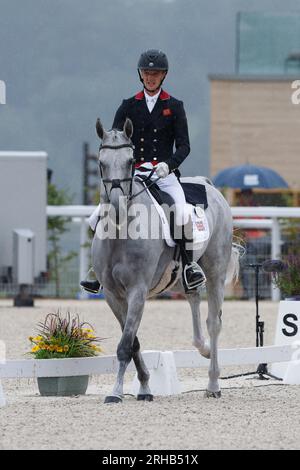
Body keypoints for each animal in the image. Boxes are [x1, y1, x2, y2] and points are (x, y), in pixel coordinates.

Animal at [91, 117, 239, 404]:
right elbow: (133, 341)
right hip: (181, 276)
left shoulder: (137, 291)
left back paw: (213, 383)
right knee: (193, 299)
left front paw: (116, 393)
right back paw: (202, 349)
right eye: (101, 163)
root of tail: (208, 185)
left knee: (214, 322)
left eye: (130, 161)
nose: (116, 206)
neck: (120, 233)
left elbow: (125, 345)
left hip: (215, 270)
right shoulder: (113, 295)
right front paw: (145, 387)